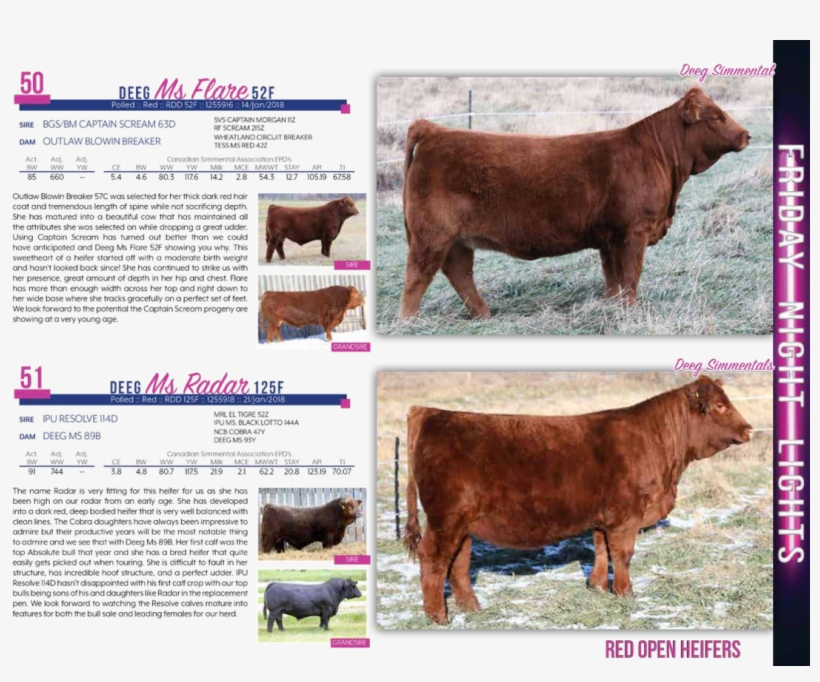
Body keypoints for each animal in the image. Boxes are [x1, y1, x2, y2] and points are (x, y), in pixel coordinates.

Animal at [399, 87, 751, 319]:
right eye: (715, 116)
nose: (747, 135)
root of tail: (433, 130)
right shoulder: (632, 233)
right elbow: (630, 276)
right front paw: (630, 312)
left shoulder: (610, 238)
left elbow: (612, 277)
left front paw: (611, 306)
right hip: (431, 234)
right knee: (418, 277)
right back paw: (409, 322)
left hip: (457, 240)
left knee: (459, 273)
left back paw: (484, 313)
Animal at [403, 375, 753, 624]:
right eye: (720, 406)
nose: (749, 429)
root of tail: (429, 412)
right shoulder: (626, 515)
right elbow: (622, 555)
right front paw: (626, 594)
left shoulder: (604, 516)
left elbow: (600, 549)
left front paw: (597, 587)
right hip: (446, 519)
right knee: (434, 559)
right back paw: (438, 616)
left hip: (463, 522)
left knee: (458, 563)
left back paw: (472, 608)